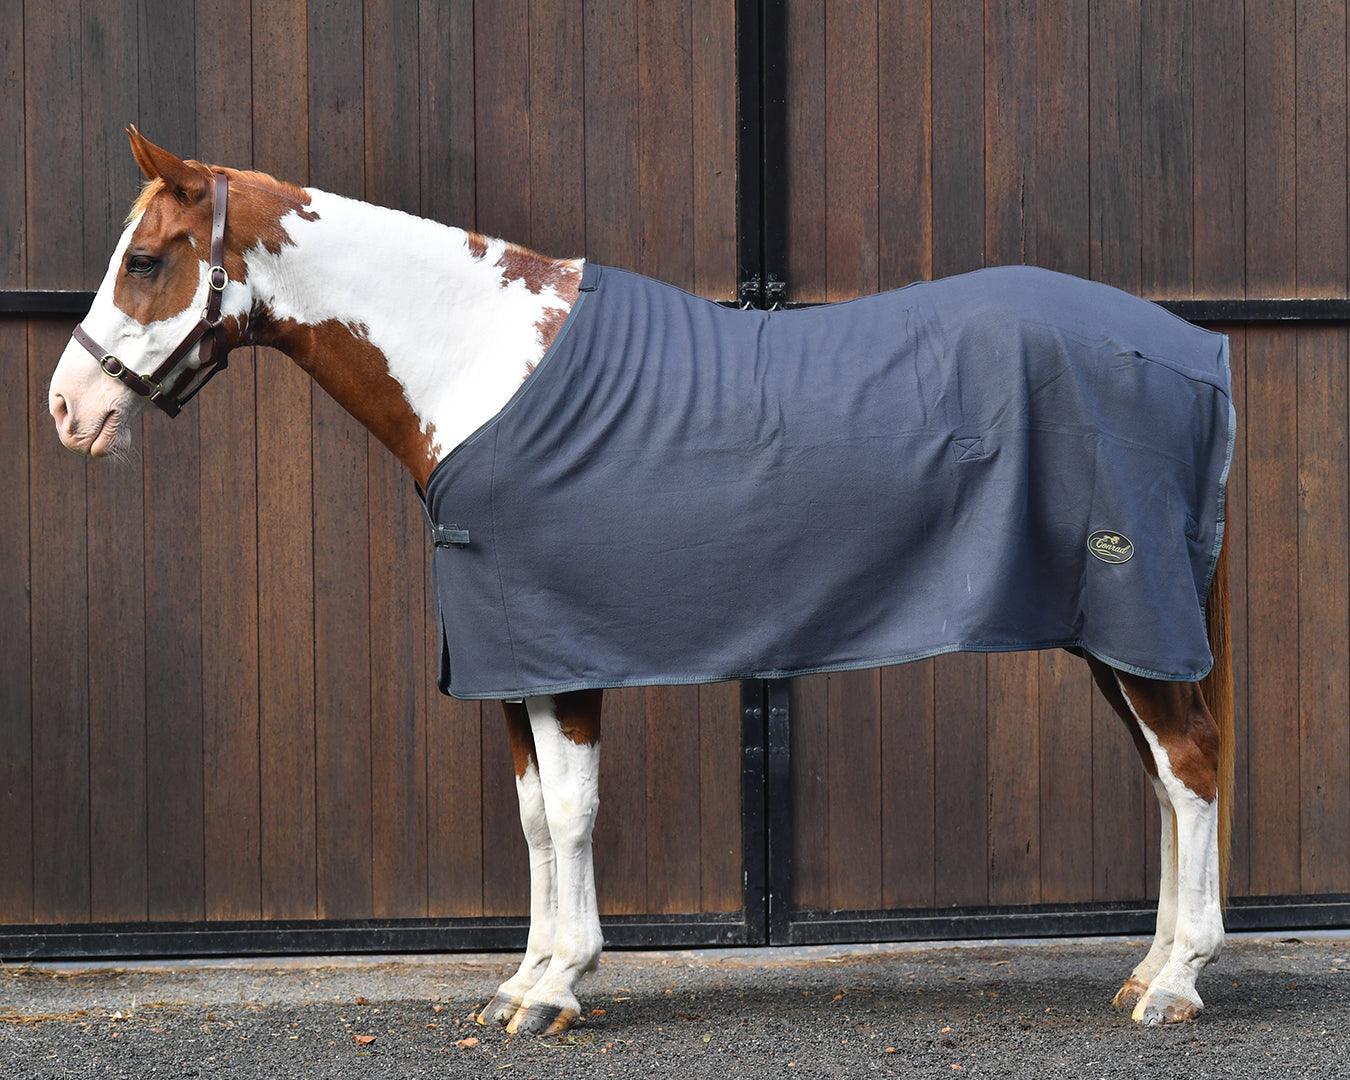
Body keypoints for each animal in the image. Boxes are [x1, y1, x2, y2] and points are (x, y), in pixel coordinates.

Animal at [49, 128, 1234, 1035]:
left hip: (1136, 624)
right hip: (1108, 635)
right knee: (1165, 779)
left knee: (1188, 770)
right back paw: (1148, 966)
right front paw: (521, 981)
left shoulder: (564, 654)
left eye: (145, 260)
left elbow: (572, 813)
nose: (67, 409)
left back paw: (1175, 983)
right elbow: (534, 818)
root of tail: (1193, 352)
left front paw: (557, 990)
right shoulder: (507, 659)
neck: (483, 368)